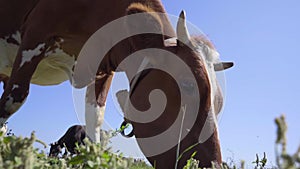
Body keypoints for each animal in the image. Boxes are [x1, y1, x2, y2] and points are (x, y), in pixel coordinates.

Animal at [0, 0, 233, 168]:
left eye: (220, 103)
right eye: (187, 85)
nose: (212, 165)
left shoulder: (103, 69)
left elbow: (94, 120)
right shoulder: (35, 36)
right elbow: (14, 99)